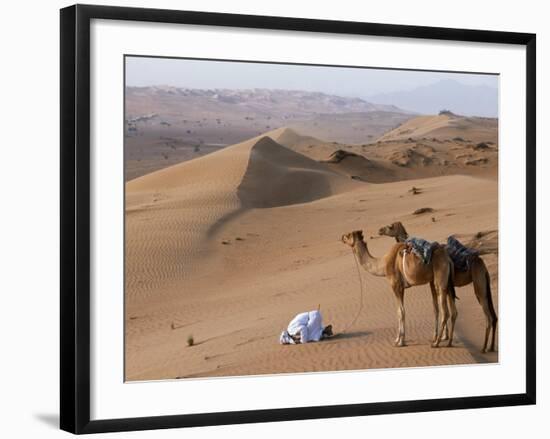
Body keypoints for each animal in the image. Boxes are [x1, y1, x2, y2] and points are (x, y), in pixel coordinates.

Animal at [380, 222, 500, 352]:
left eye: (390, 227)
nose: (380, 230)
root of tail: (482, 264)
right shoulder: (442, 286)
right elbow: (447, 310)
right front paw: (445, 338)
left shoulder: (435, 283)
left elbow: (439, 309)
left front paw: (439, 338)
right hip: (483, 283)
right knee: (493, 315)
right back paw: (491, 347)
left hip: (478, 284)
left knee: (487, 315)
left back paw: (482, 347)